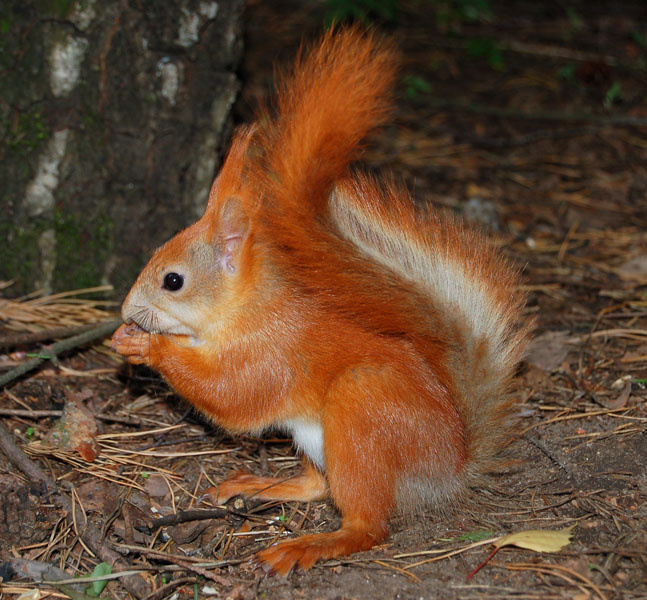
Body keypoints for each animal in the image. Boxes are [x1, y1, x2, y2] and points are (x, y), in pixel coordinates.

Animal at [111, 27, 531, 576]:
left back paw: (310, 545)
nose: (125, 311)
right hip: (317, 441)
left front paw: (148, 347)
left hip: (362, 411)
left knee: (366, 524)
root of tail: (451, 466)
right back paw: (260, 484)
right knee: (317, 485)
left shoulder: (274, 352)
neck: (245, 310)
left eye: (173, 280)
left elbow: (233, 397)